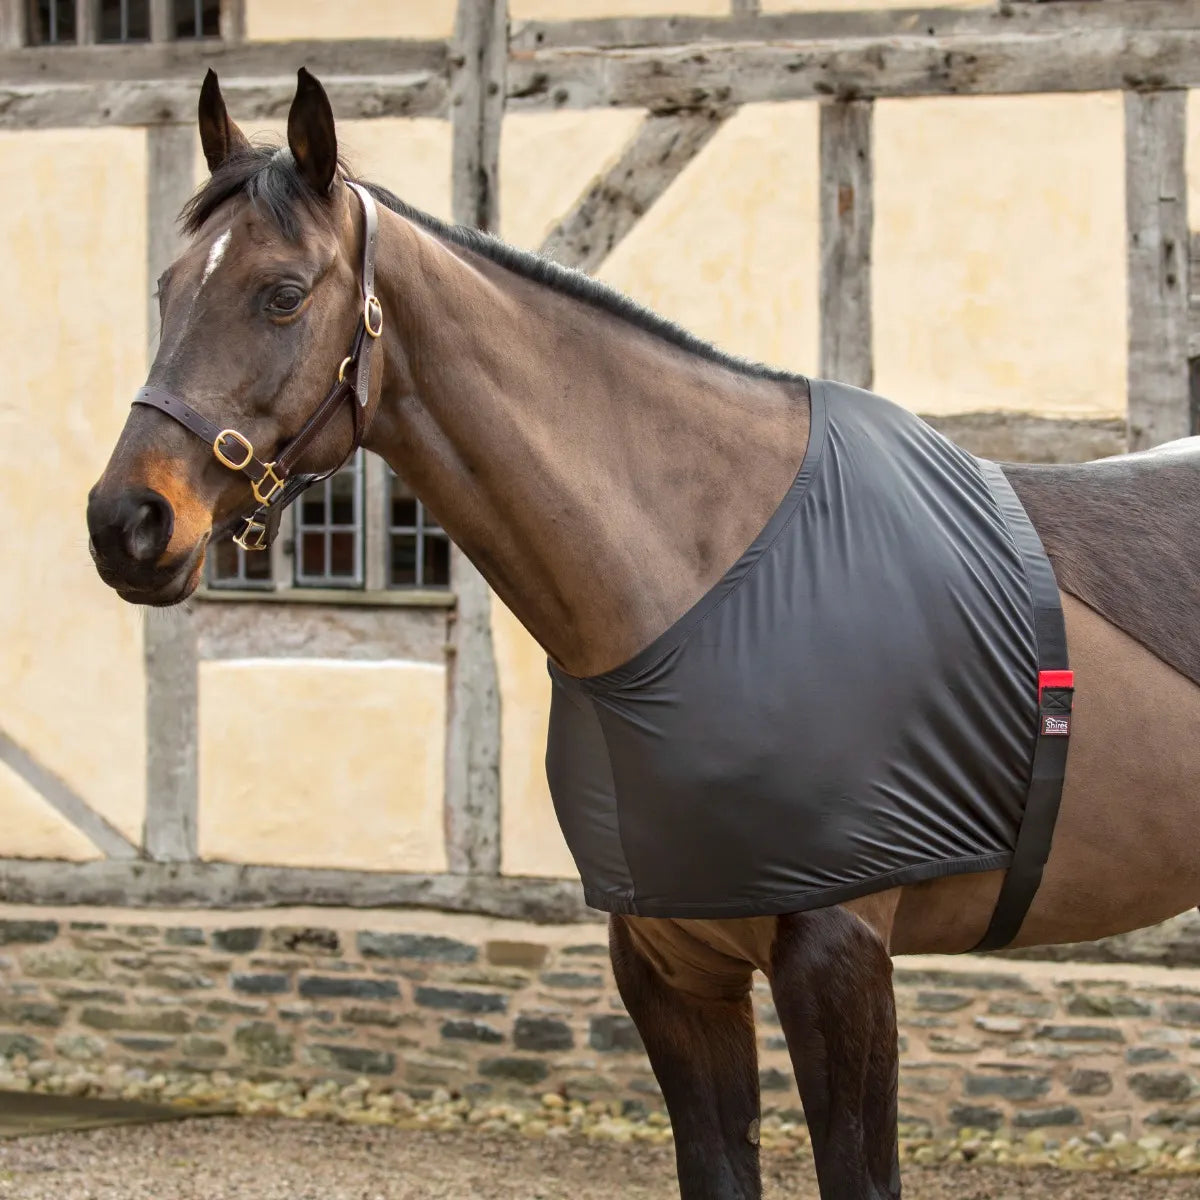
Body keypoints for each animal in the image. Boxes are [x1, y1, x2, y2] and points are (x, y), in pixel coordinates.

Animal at [85, 68, 1200, 1200]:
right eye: (167, 289)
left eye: (282, 291)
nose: (128, 523)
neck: (705, 578)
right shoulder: (670, 966)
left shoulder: (840, 955)